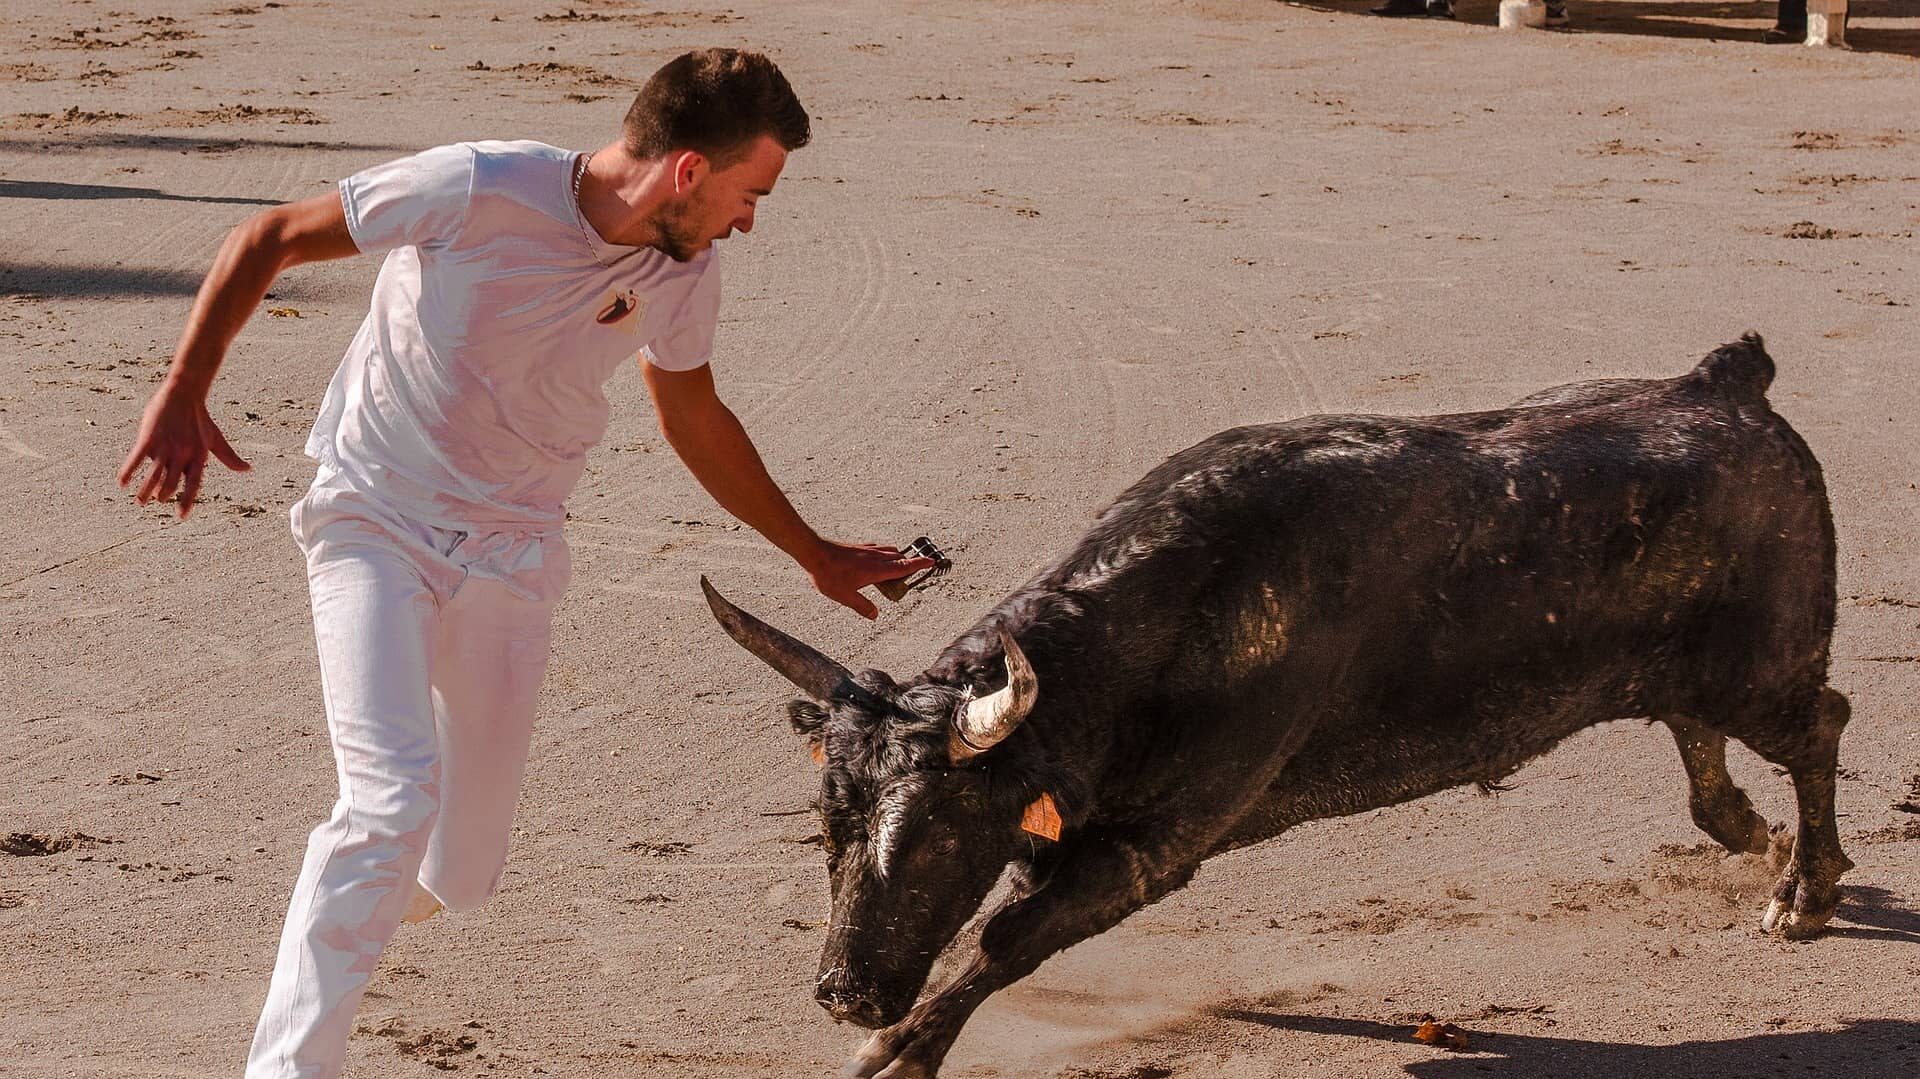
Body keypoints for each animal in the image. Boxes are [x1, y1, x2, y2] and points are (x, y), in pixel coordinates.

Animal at [702, 332, 1843, 1067]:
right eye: (827, 828)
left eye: (942, 833)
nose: (843, 991)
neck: (1159, 628)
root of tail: (1726, 385)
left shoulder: (1154, 846)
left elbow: (1003, 939)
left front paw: (898, 1048)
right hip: (1690, 667)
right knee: (1704, 743)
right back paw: (1762, 841)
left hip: (1762, 668)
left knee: (1817, 726)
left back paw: (1807, 892)